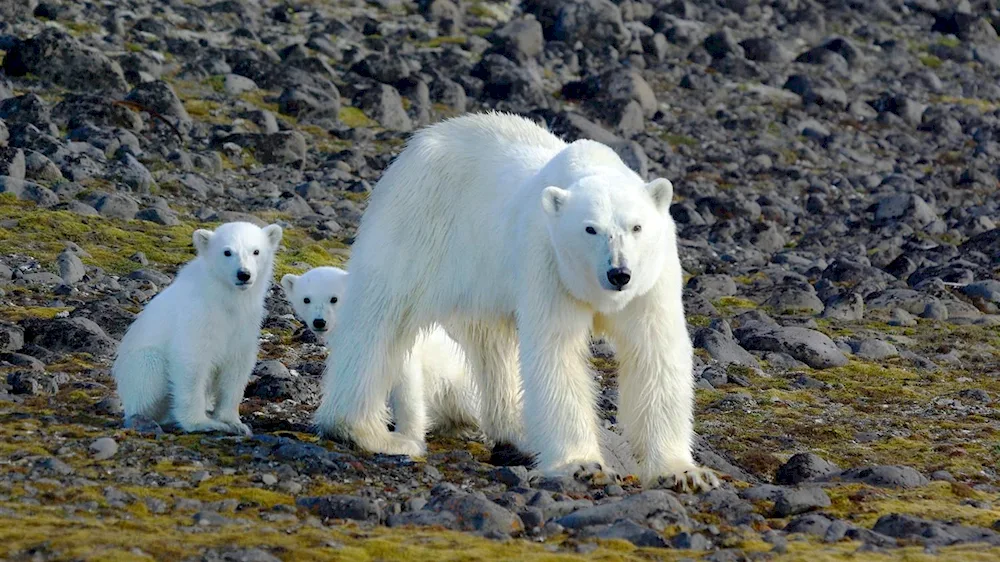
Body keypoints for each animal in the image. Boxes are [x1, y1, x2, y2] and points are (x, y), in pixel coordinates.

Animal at [316, 111, 716, 488]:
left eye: (636, 227)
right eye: (590, 228)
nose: (619, 273)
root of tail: (419, 143)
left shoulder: (653, 280)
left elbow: (655, 352)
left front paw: (682, 472)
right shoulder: (548, 261)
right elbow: (556, 352)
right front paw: (583, 465)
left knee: (492, 345)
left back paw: (518, 431)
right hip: (417, 226)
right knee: (379, 321)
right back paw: (370, 432)